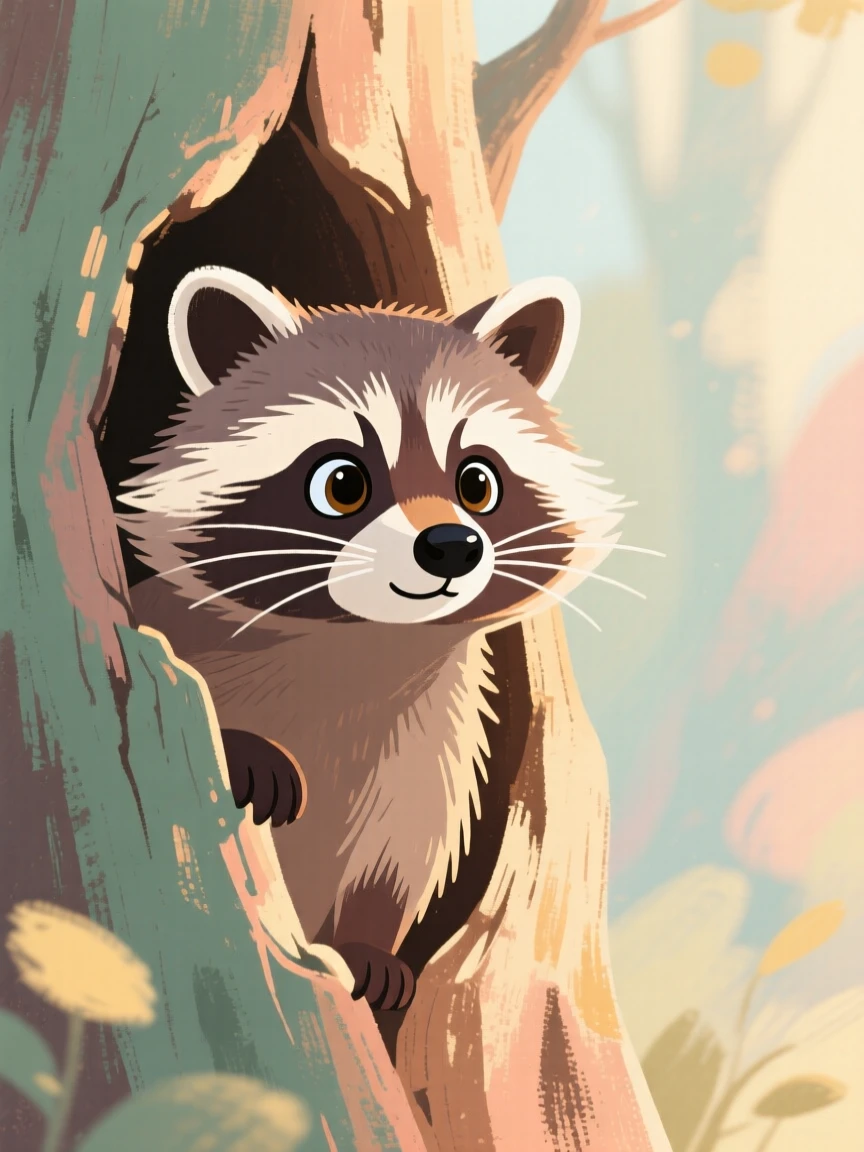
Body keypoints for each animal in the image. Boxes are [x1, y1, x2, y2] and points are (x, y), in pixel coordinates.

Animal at [118, 266, 624, 1010]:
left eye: (477, 481)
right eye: (343, 482)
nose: (451, 547)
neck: (364, 643)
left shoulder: (432, 733)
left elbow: (400, 850)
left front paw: (368, 944)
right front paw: (241, 748)